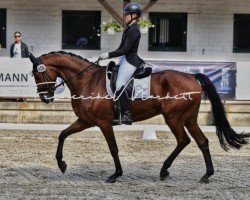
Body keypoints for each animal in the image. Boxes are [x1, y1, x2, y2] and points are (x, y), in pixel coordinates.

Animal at [28, 51, 248, 183]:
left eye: (38, 74)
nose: (45, 98)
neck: (87, 80)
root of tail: (192, 76)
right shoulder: (86, 121)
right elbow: (63, 134)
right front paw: (61, 164)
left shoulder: (103, 123)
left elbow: (113, 148)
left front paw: (115, 174)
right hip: (189, 118)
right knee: (202, 141)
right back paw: (206, 175)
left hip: (174, 118)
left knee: (183, 140)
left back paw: (164, 170)